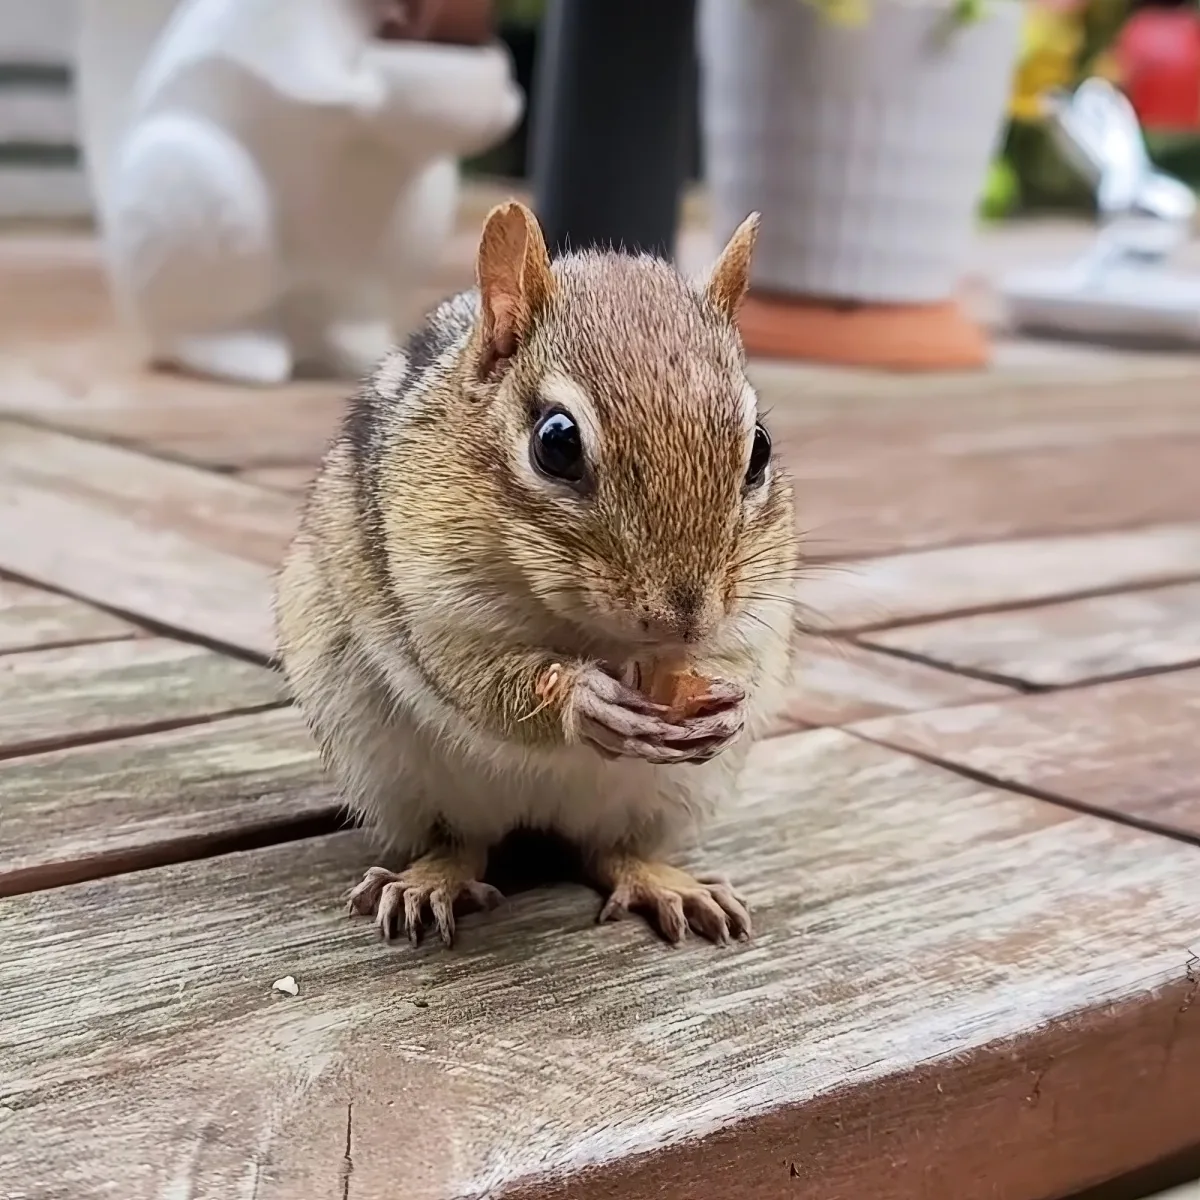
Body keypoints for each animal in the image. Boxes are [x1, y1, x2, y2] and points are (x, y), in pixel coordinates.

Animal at [275, 200, 798, 948]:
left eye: (759, 448)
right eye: (556, 441)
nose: (685, 617)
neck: (601, 640)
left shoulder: (761, 608)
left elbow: (739, 657)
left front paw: (727, 705)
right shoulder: (435, 601)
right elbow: (478, 677)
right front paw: (583, 699)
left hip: (663, 800)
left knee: (612, 851)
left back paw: (664, 879)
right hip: (391, 767)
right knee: (460, 841)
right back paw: (430, 879)